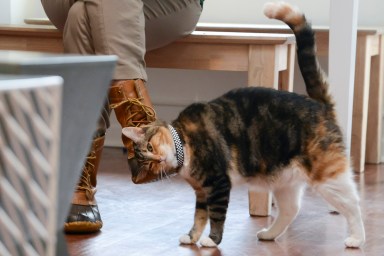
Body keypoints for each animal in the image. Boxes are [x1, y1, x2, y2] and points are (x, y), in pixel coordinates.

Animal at [121, 1, 364, 248]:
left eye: (150, 146)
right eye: (148, 165)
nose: (158, 160)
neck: (186, 143)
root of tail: (319, 104)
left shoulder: (218, 184)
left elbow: (216, 216)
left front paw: (212, 240)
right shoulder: (202, 191)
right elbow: (199, 216)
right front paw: (191, 237)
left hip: (328, 175)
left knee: (354, 204)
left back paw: (357, 238)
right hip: (285, 181)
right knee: (291, 209)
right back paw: (269, 234)